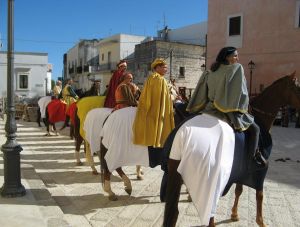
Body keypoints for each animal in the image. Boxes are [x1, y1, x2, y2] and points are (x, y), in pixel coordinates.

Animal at [163, 72, 300, 227]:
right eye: (297, 88)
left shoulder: (242, 168)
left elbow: (239, 190)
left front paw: (234, 214)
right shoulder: (258, 170)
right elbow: (259, 194)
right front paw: (260, 221)